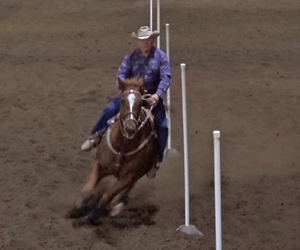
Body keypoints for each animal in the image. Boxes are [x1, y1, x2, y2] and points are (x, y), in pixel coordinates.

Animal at [66, 77, 158, 225]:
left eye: (140, 103)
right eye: (122, 100)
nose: (130, 129)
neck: (122, 147)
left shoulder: (126, 178)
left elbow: (107, 196)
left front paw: (94, 215)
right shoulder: (99, 165)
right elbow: (87, 191)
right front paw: (77, 207)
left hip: (139, 174)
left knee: (127, 190)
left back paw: (117, 206)